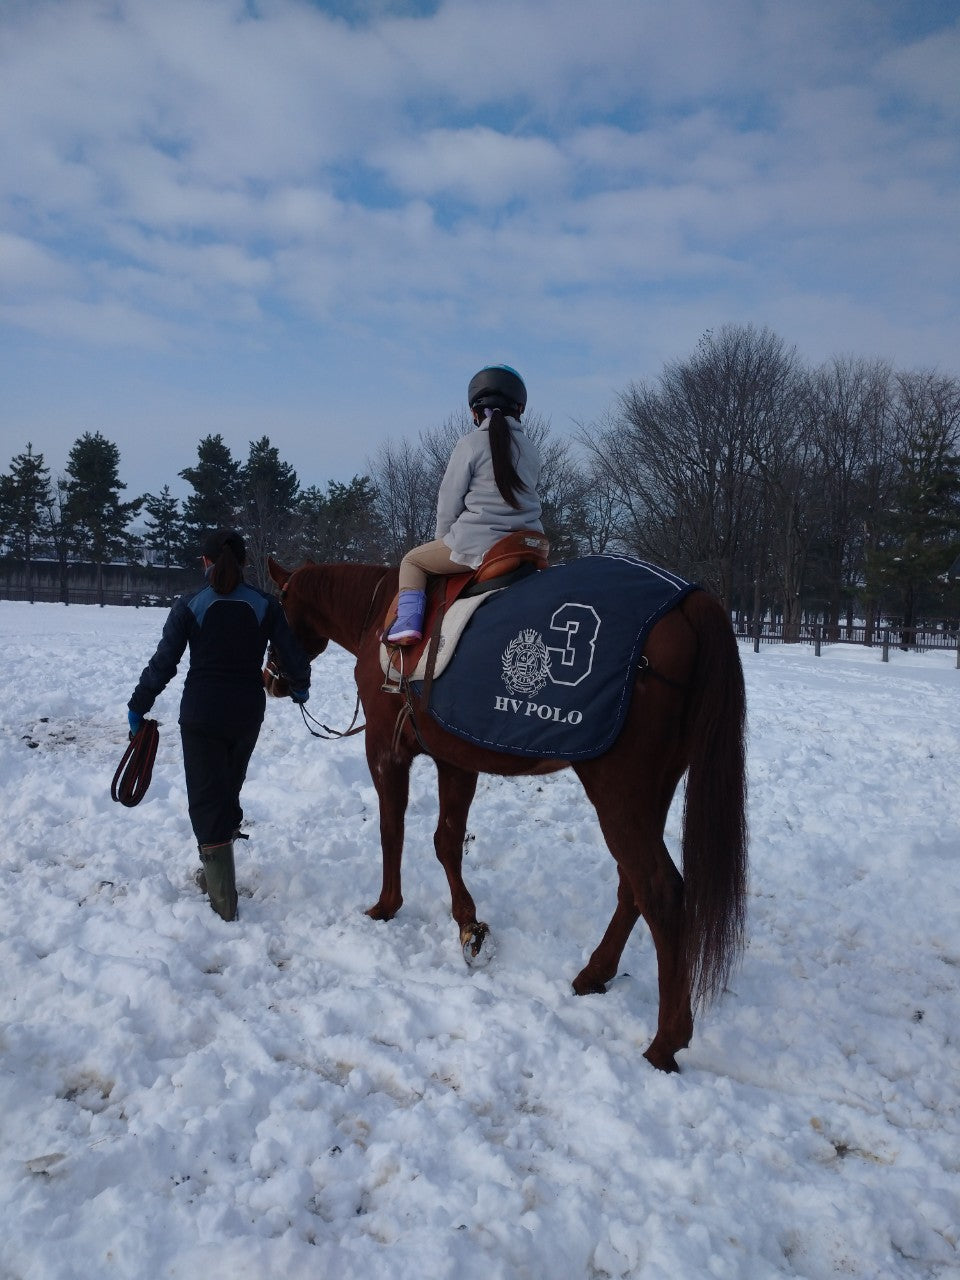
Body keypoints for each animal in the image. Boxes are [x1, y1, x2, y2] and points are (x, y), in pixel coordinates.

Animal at [267, 560, 747, 1070]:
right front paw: (468, 926)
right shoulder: (455, 760)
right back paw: (595, 973)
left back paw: (665, 1041)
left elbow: (391, 830)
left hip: (619, 794)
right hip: (651, 793)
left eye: (278, 607)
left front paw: (386, 905)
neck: (377, 615)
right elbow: (447, 841)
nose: (270, 678)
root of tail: (687, 600)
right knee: (632, 886)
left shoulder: (385, 750)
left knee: (660, 892)